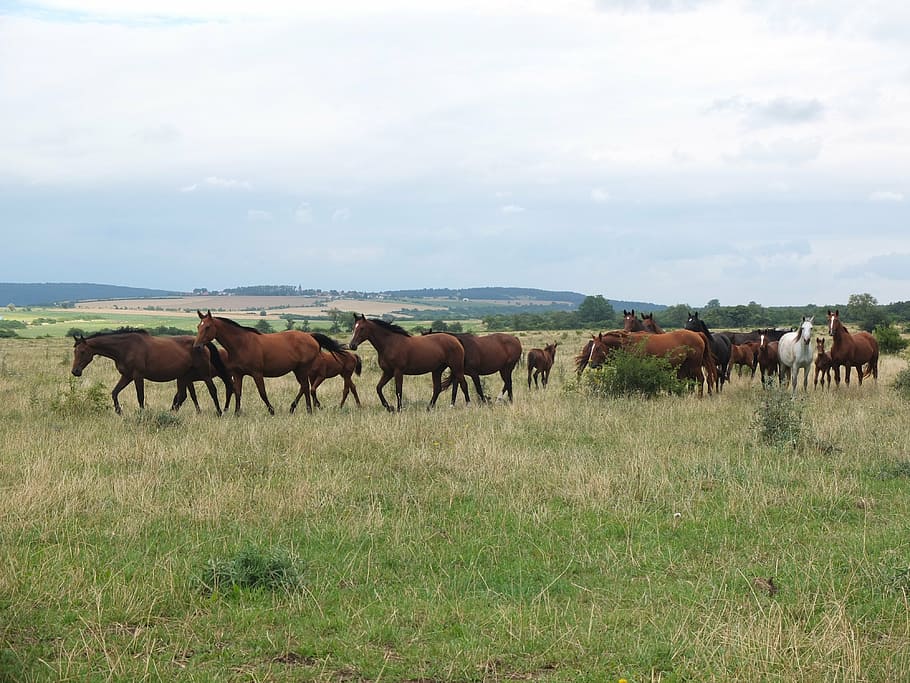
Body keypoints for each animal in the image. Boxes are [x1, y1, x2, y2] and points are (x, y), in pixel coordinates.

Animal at [72, 328, 235, 414]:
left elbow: (140, 397)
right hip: (183, 377)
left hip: (204, 374)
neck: (125, 348)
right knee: (182, 396)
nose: (75, 371)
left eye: (82, 352)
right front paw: (119, 411)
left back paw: (219, 412)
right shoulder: (126, 376)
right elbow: (114, 392)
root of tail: (202, 344)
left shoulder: (137, 376)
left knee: (212, 390)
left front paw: (141, 414)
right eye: (75, 352)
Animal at [194, 312, 348, 416]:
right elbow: (237, 392)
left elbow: (262, 392)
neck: (241, 344)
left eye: (207, 327)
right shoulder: (238, 374)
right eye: (198, 326)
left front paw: (271, 410)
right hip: (297, 370)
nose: (197, 346)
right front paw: (237, 413)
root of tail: (310, 336)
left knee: (305, 387)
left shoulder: (257, 373)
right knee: (304, 387)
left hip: (303, 369)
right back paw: (294, 408)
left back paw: (308, 410)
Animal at [584, 330, 720, 396]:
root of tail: (697, 334)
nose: (591, 364)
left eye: (597, 348)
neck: (630, 343)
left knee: (701, 379)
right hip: (684, 367)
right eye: (592, 347)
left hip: (694, 366)